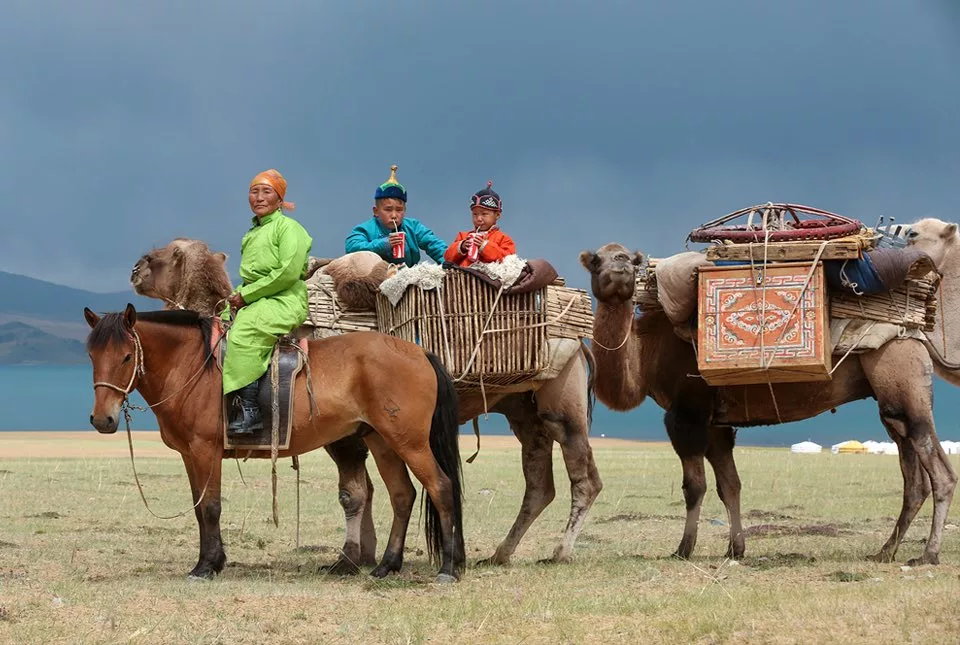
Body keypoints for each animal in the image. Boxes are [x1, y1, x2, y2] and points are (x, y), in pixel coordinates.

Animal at [84, 304, 466, 580]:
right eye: (91, 357)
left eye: (127, 356)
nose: (103, 420)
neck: (192, 365)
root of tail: (419, 353)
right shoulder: (190, 456)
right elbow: (199, 508)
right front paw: (213, 561)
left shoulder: (205, 451)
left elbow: (211, 507)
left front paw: (206, 566)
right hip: (382, 442)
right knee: (402, 495)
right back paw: (387, 565)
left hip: (410, 443)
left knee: (441, 487)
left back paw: (447, 568)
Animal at [131, 240, 604, 568]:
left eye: (159, 255)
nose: (134, 268)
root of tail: (581, 339)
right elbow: (367, 490)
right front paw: (365, 555)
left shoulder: (341, 432)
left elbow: (354, 493)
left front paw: (349, 557)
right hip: (522, 409)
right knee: (539, 482)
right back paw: (500, 554)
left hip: (560, 403)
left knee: (584, 478)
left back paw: (560, 552)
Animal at [580, 231, 956, 564]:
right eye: (596, 261)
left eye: (630, 259)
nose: (619, 265)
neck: (648, 354)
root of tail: (919, 328)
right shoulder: (717, 424)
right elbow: (729, 485)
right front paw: (736, 549)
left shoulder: (686, 415)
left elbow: (694, 486)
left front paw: (683, 550)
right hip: (893, 398)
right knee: (913, 476)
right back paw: (885, 551)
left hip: (901, 375)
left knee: (940, 472)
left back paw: (928, 554)